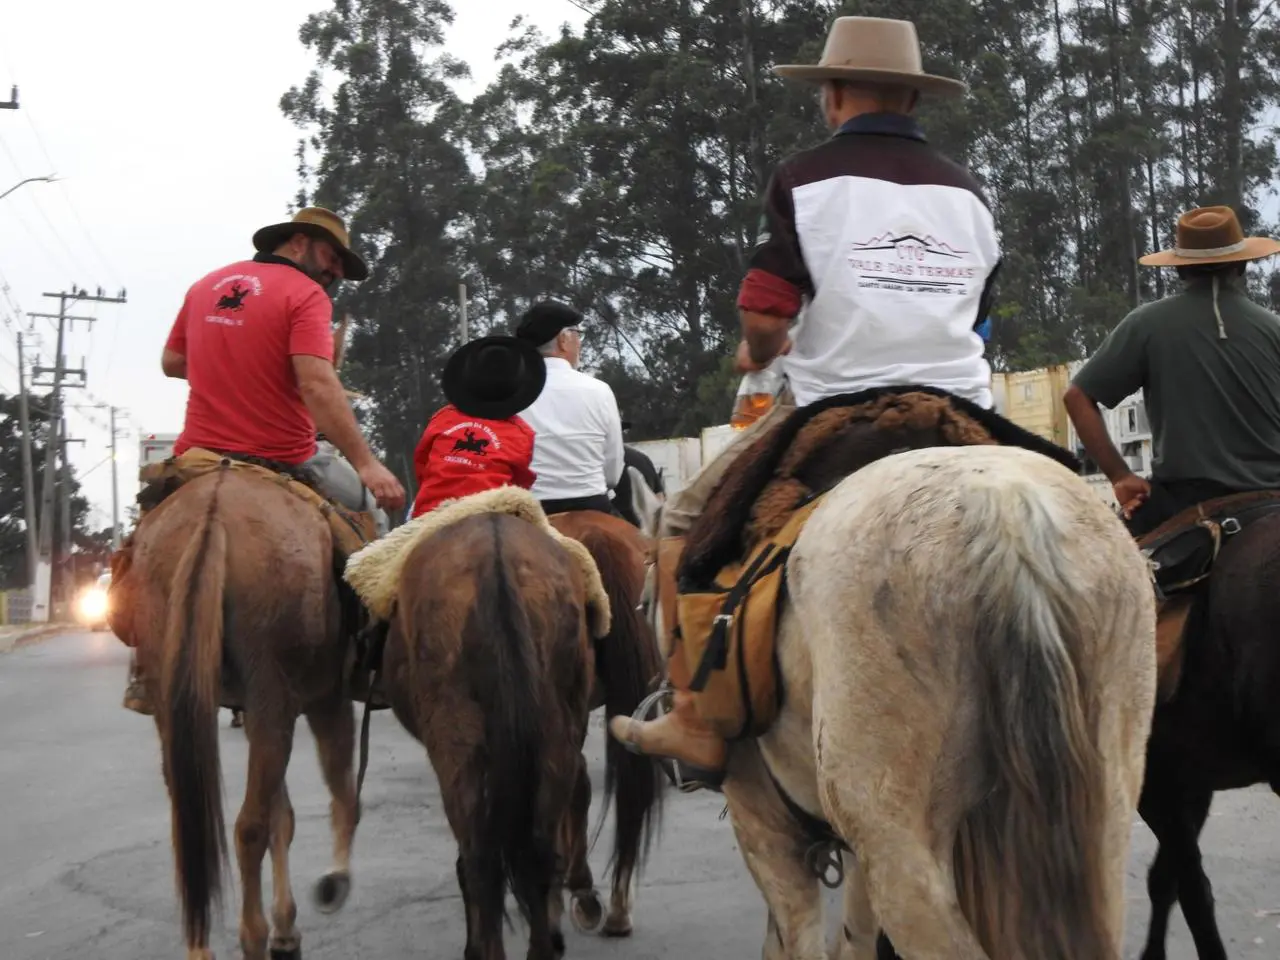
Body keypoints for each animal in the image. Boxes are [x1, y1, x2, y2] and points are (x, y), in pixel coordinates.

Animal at [119, 463, 360, 957]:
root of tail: (212, 515)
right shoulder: (325, 697)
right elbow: (339, 791)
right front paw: (326, 890)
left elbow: (283, 813)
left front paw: (288, 926)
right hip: (275, 687)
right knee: (250, 826)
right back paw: (254, 934)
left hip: (172, 674)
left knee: (191, 823)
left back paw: (202, 944)